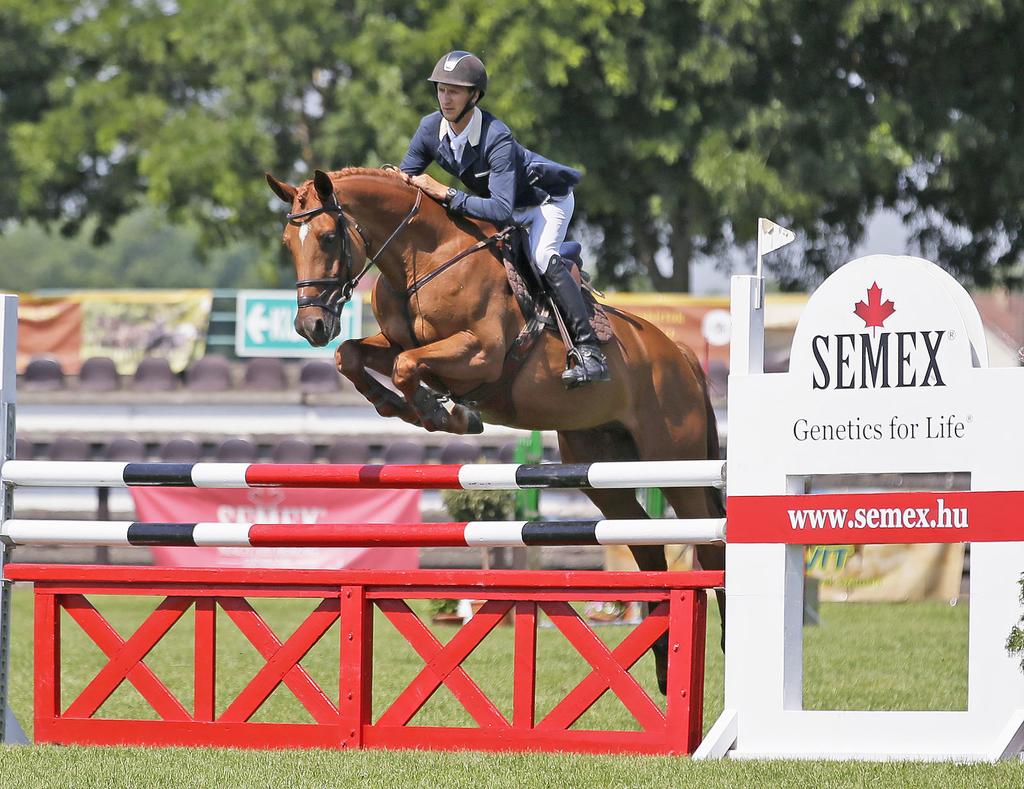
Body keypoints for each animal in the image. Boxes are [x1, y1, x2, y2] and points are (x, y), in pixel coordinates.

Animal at [266, 166, 729, 691]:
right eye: (288, 242)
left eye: (327, 236)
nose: (311, 326)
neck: (422, 258)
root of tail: (682, 355)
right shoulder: (397, 343)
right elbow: (354, 355)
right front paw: (399, 404)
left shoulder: (480, 353)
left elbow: (408, 366)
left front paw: (442, 412)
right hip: (601, 469)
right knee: (645, 547)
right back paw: (664, 665)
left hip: (675, 463)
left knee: (711, 546)